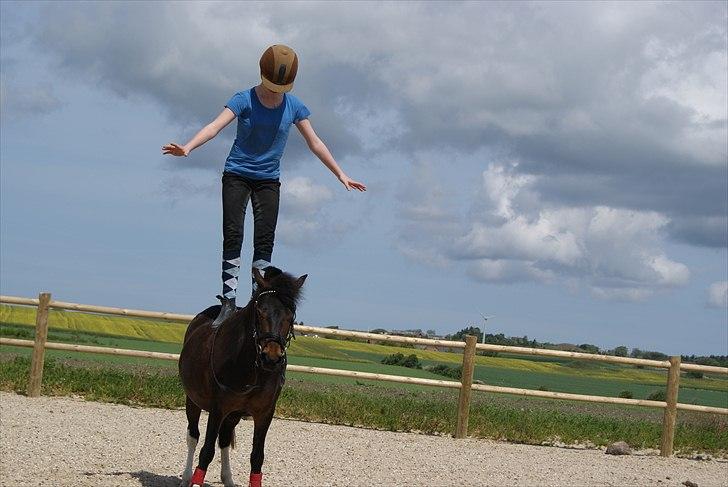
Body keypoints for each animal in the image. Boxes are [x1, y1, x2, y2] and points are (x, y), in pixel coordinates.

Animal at [178, 266, 306, 487]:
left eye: (291, 315)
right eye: (260, 310)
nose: (271, 358)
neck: (251, 369)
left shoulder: (264, 414)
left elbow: (257, 457)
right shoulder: (218, 409)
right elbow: (206, 451)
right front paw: (195, 481)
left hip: (233, 415)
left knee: (224, 440)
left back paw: (227, 478)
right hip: (193, 401)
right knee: (193, 436)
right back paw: (187, 477)